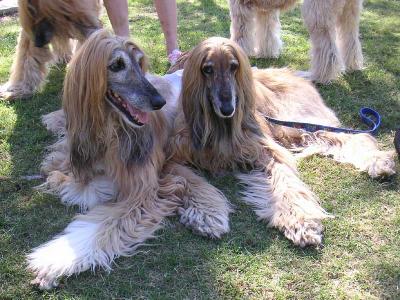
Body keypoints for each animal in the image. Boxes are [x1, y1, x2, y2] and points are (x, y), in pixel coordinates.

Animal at [27, 29, 231, 288]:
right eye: (116, 65)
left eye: (139, 62)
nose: (159, 102)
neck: (110, 129)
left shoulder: (143, 190)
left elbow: (101, 221)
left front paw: (51, 262)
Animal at [170, 37, 396, 248]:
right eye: (207, 69)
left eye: (234, 66)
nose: (228, 109)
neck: (219, 125)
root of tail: (289, 72)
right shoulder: (176, 155)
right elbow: (193, 182)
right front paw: (207, 214)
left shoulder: (263, 149)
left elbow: (286, 181)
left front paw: (300, 220)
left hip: (293, 121)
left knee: (353, 136)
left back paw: (378, 161)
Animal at [230, 0, 364, 83]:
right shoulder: (265, 9)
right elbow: (268, 33)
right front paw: (266, 54)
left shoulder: (239, 7)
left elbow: (239, 36)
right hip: (350, 12)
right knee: (351, 39)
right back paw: (352, 66)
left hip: (317, 14)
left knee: (328, 51)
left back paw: (317, 77)